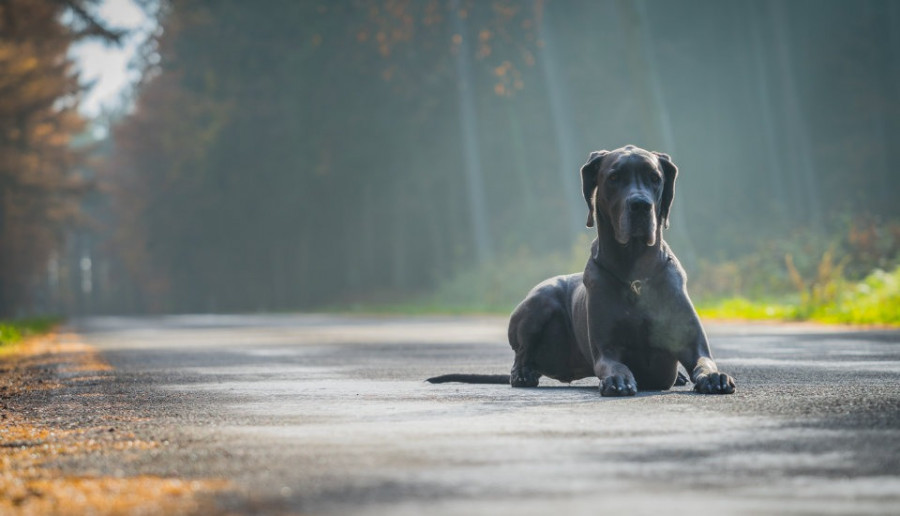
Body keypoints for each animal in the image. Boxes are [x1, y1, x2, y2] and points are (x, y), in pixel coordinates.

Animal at [430, 145, 740, 396]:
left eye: (655, 178)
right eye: (614, 178)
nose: (640, 205)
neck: (635, 274)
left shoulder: (693, 345)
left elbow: (704, 361)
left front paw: (714, 377)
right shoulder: (606, 351)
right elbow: (615, 366)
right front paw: (618, 380)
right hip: (540, 301)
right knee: (521, 355)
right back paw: (523, 374)